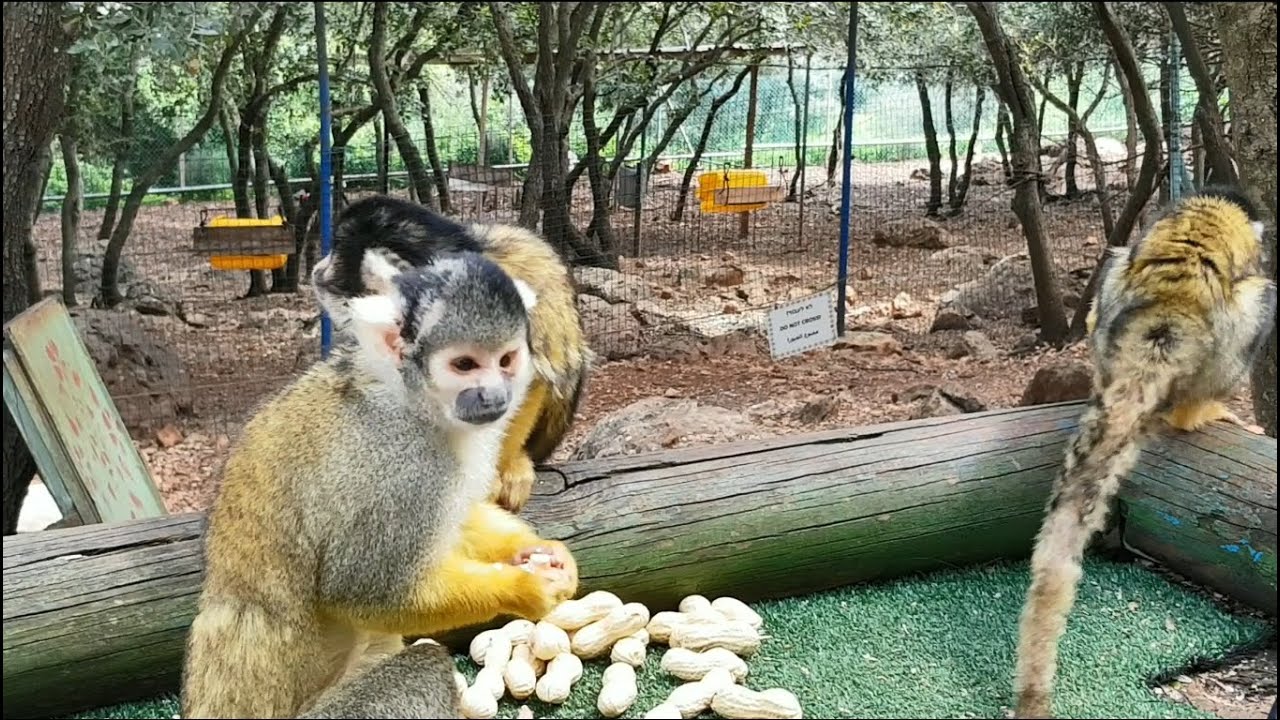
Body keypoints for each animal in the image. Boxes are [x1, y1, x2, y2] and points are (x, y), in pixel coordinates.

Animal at [1012, 186, 1276, 719]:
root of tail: (1168, 310)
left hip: (1114, 319)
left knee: (1115, 267)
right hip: (1224, 344)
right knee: (1263, 296)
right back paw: (1196, 412)